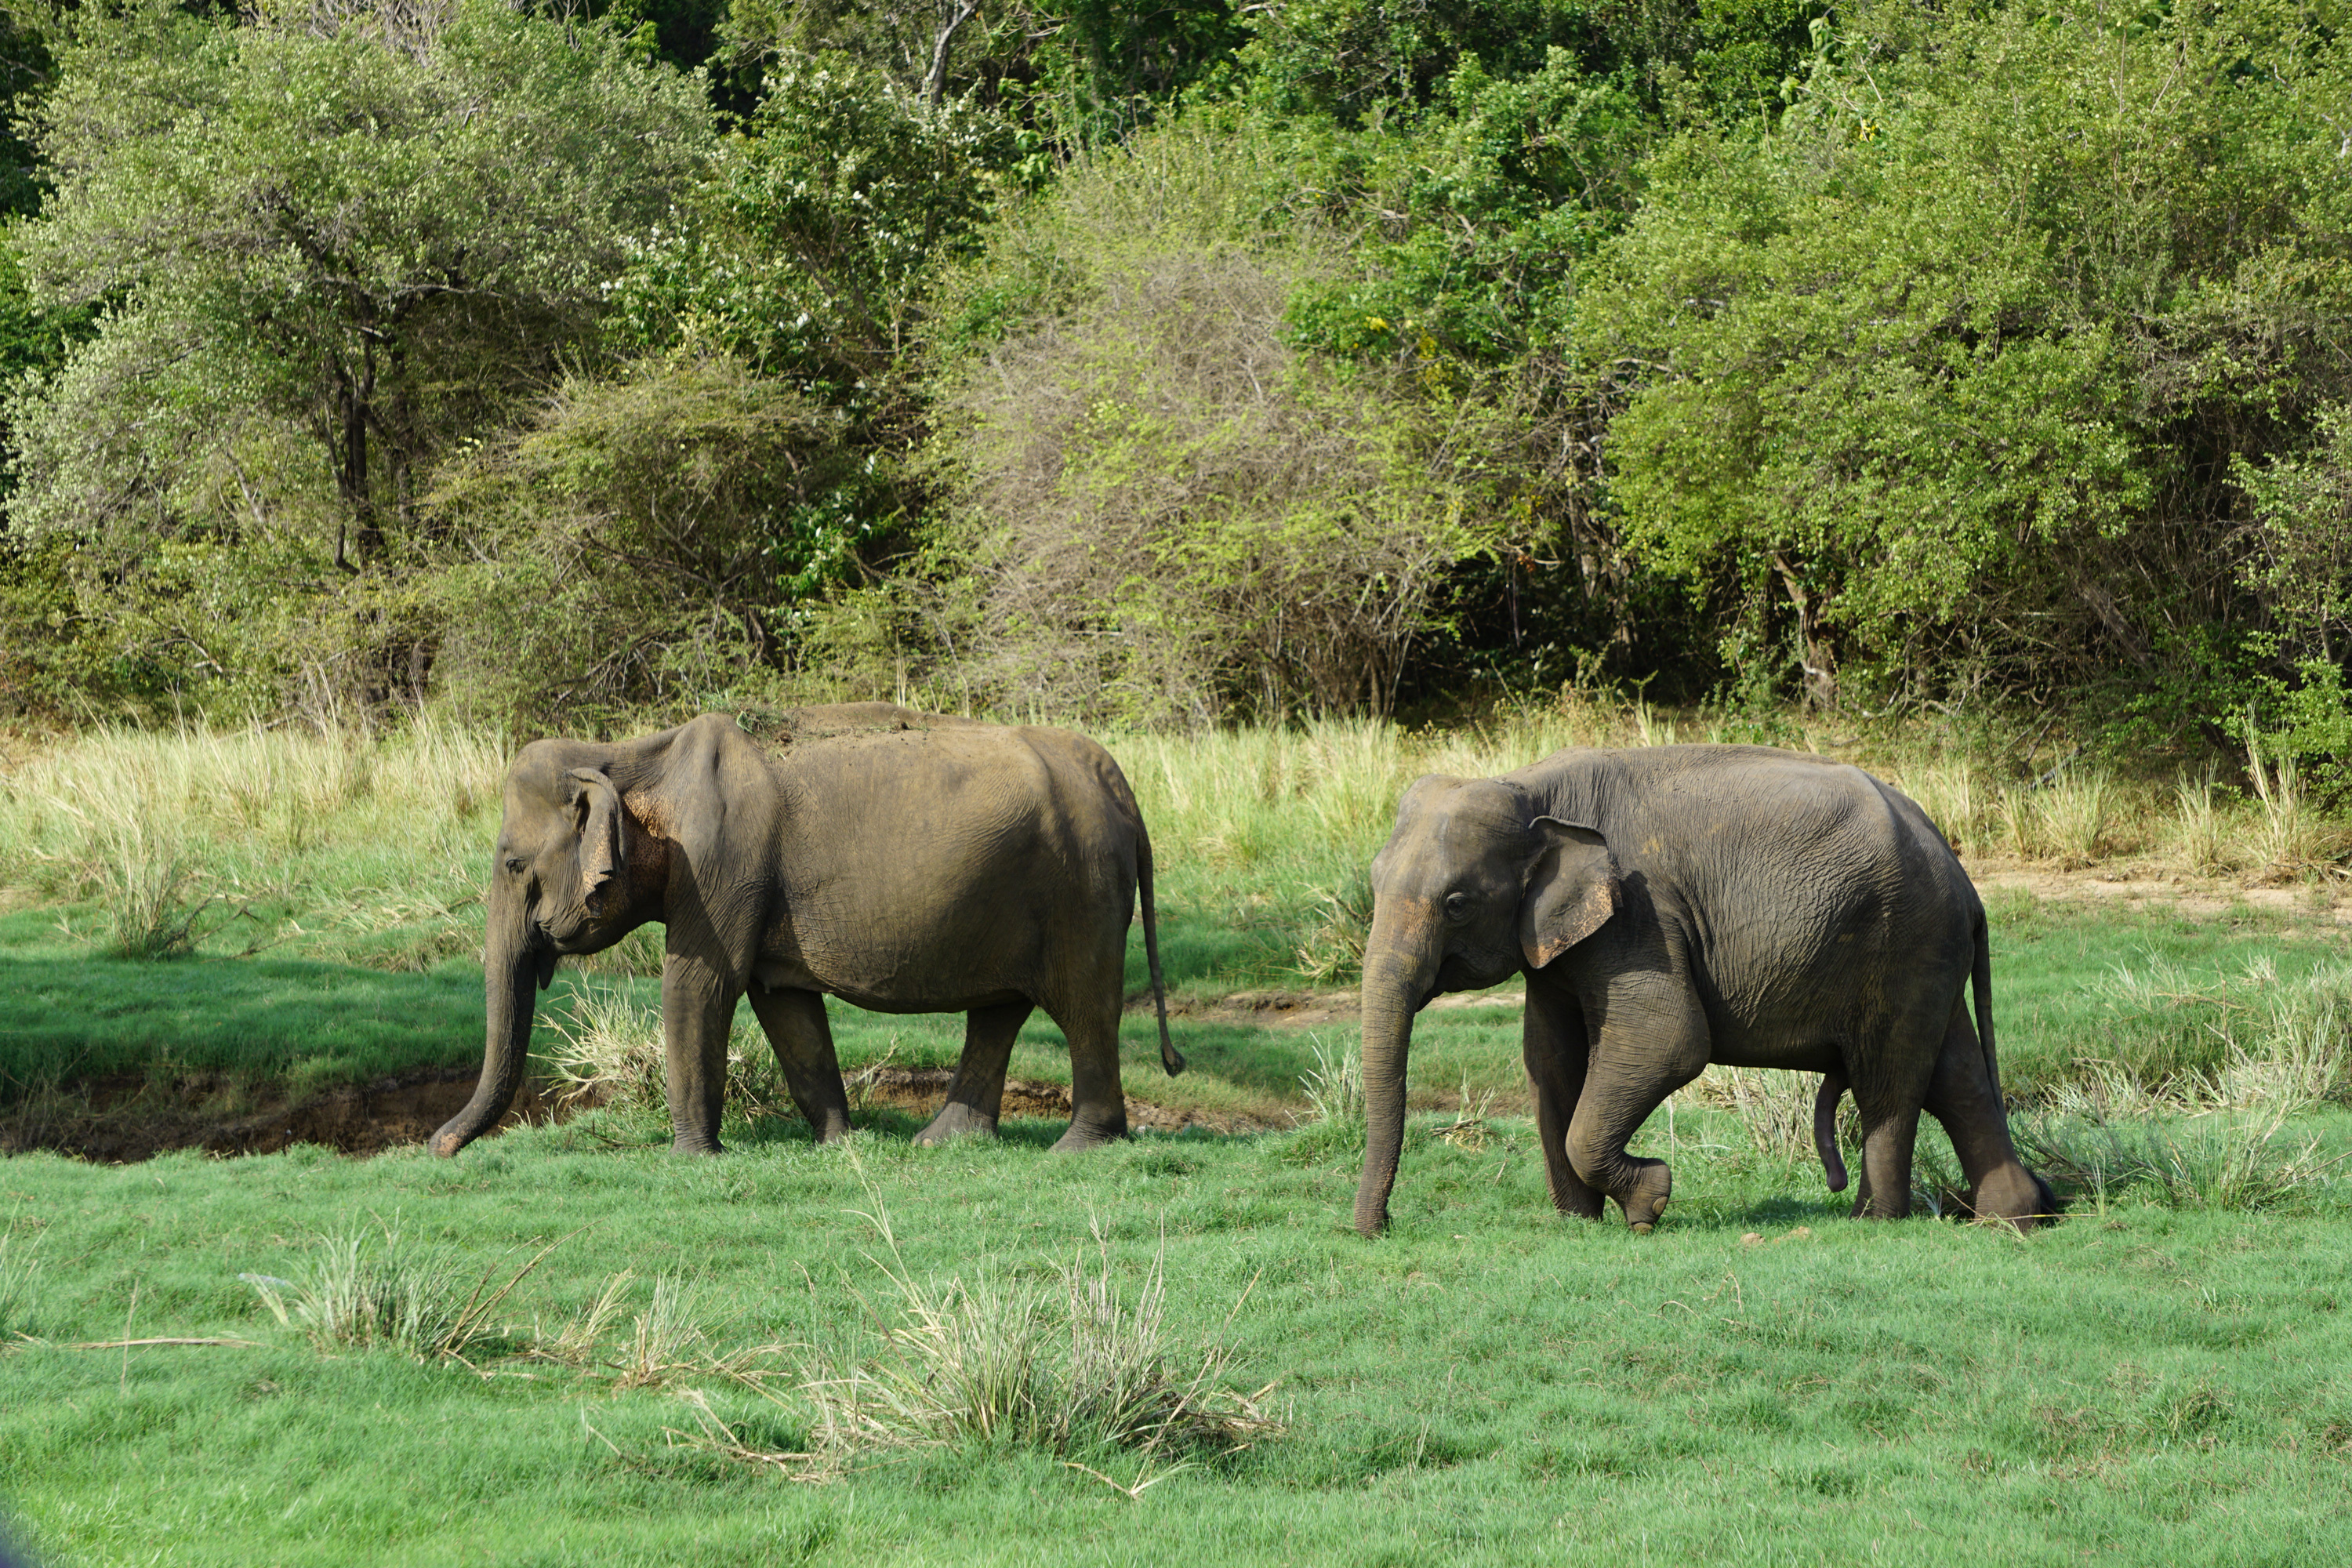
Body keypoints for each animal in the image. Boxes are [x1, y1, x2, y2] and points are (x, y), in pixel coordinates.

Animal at [428, 705, 1176, 1161]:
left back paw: (1077, 1147)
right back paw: (941, 1142)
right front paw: (840, 1144)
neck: (632, 755)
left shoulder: (722, 868)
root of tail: (1123, 791)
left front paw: (691, 1157)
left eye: (513, 864)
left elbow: (700, 988)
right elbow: (784, 1008)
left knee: (1085, 1009)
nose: (437, 1147)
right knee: (1000, 1011)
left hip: (1081, 891)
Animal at [1355, 747, 2051, 1241]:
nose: (1378, 1229)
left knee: (1890, 1081)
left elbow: (1668, 1041)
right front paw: (1580, 1223)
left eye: (1456, 904)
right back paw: (2012, 1220)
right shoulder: (1560, 942)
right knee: (1955, 1074)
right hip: (1928, 954)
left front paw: (1649, 1206)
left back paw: (1872, 1221)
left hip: (1904, 940)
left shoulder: (1642, 914)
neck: (1528, 784)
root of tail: (1965, 881)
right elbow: (1549, 1061)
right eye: (1373, 881)